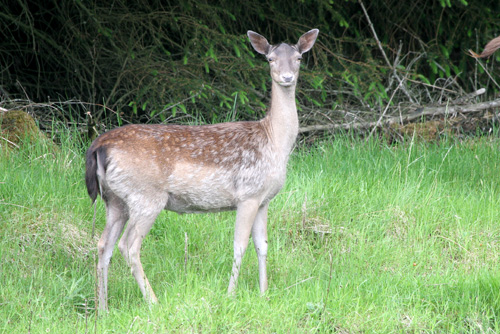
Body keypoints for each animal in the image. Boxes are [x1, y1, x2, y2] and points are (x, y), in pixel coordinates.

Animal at [85, 28, 320, 310]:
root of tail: (99, 146)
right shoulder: (248, 194)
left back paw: (102, 308)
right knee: (128, 245)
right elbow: (239, 245)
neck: (274, 142)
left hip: (114, 200)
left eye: (298, 58)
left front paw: (264, 294)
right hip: (146, 196)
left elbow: (262, 245)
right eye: (270, 59)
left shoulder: (264, 199)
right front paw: (230, 295)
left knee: (103, 244)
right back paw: (153, 301)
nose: (286, 77)